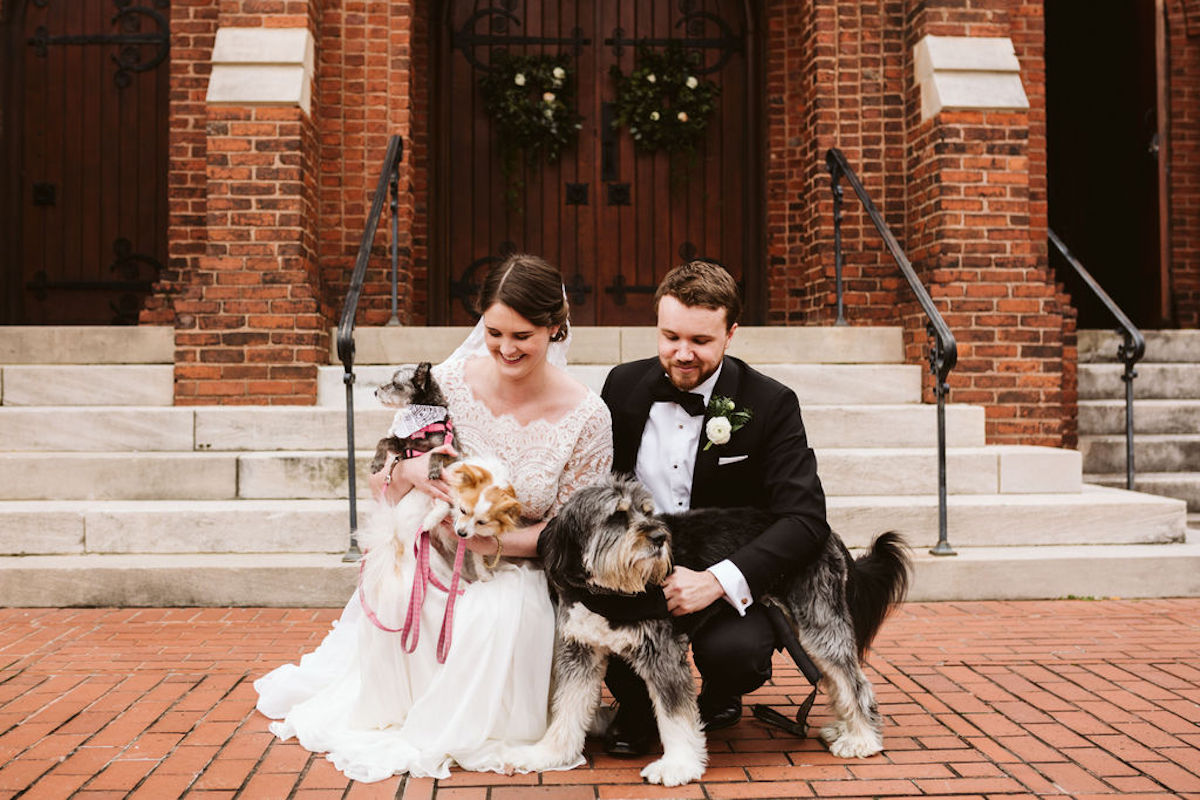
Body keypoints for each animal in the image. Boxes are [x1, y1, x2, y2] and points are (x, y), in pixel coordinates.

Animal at [506, 474, 907, 786]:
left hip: (819, 624)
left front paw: (677, 765)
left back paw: (863, 740)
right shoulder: (580, 652)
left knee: (853, 681)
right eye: (617, 517)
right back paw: (846, 728)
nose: (659, 538)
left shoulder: (663, 655)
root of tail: (827, 533)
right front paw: (550, 754)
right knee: (836, 680)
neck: (608, 592)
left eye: (647, 511)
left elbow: (675, 718)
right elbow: (567, 708)